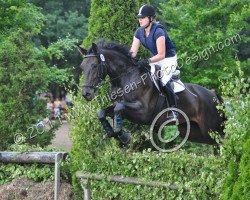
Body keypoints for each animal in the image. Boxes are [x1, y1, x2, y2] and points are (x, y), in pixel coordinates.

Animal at [76, 41, 225, 148]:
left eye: (94, 66)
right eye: (82, 66)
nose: (86, 94)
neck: (124, 78)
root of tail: (214, 95)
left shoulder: (143, 112)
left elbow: (119, 107)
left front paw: (122, 135)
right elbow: (102, 112)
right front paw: (117, 133)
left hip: (212, 129)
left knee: (223, 140)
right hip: (194, 132)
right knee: (215, 144)